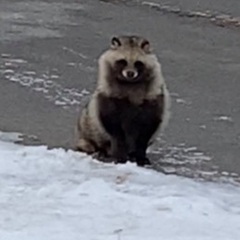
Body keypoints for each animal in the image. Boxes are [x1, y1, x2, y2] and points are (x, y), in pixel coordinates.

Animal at [76, 35, 170, 166]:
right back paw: (100, 150)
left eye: (138, 63)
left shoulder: (154, 96)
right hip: (87, 126)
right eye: (123, 61)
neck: (130, 83)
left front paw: (140, 156)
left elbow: (147, 130)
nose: (130, 73)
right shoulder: (107, 95)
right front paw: (120, 155)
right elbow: (114, 129)